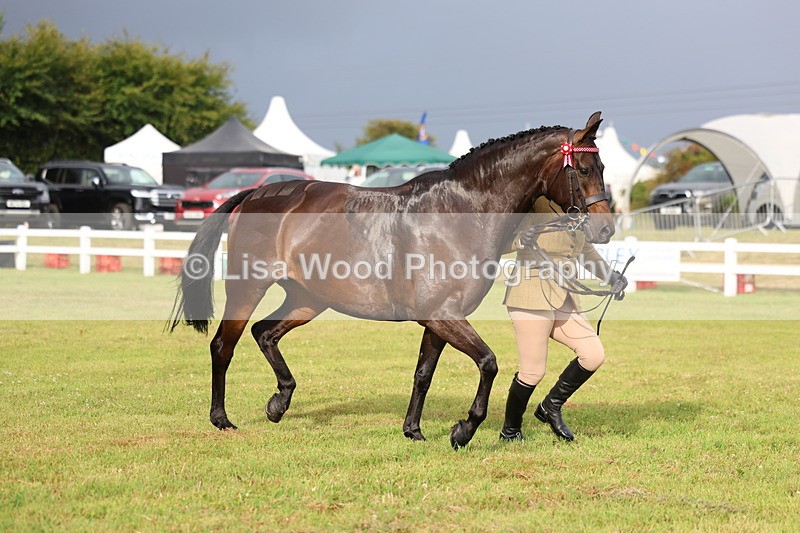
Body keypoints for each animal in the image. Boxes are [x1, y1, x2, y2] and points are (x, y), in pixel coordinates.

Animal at [170, 111, 614, 449]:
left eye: (603, 168)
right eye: (584, 169)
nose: (606, 229)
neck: (459, 214)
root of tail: (254, 194)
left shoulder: (438, 320)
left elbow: (423, 374)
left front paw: (413, 431)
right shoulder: (444, 316)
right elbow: (488, 363)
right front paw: (463, 429)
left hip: (308, 298)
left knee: (265, 332)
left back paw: (279, 403)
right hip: (248, 288)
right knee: (224, 345)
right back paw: (222, 418)